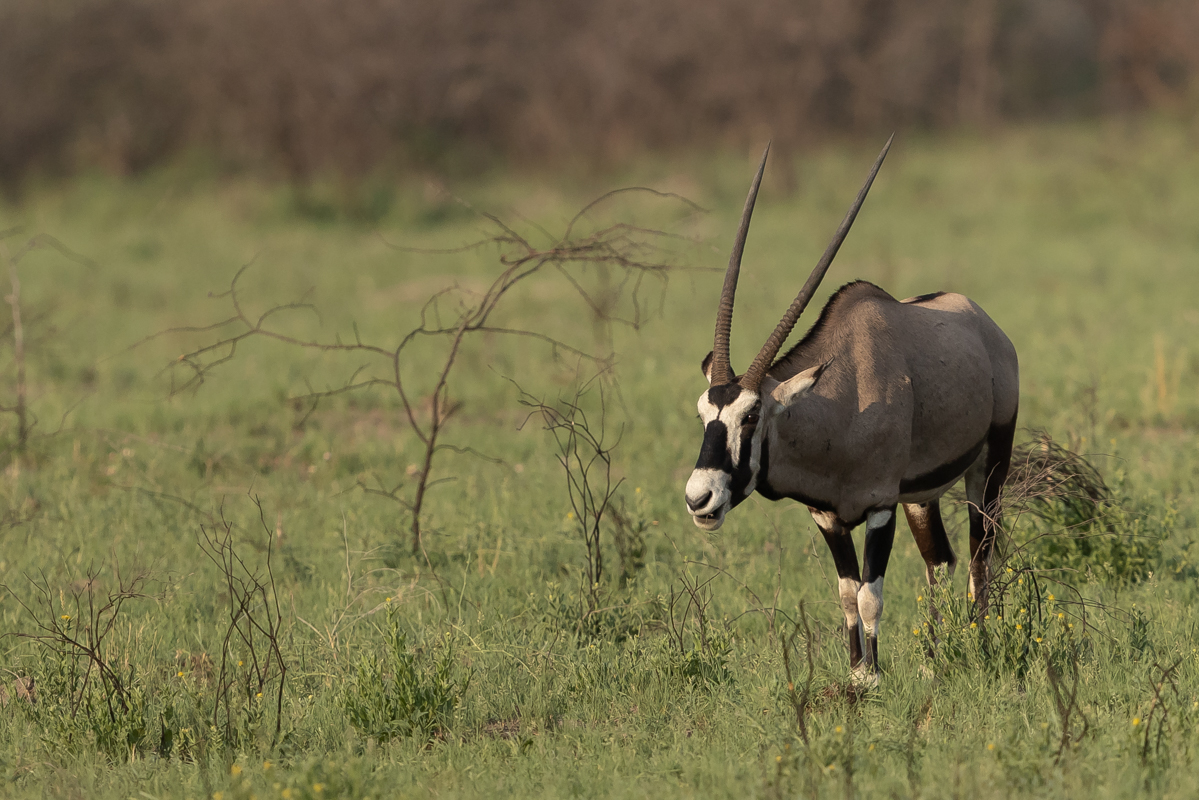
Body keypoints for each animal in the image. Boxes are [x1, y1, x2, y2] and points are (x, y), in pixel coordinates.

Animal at [684, 138, 1019, 684]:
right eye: (703, 416)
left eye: (752, 416)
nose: (699, 499)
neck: (839, 404)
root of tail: (986, 325)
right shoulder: (829, 517)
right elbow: (845, 595)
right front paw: (858, 671)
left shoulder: (880, 507)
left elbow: (869, 595)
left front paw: (874, 677)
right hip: (920, 496)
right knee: (939, 560)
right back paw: (933, 658)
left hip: (989, 467)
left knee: (978, 553)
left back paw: (980, 641)